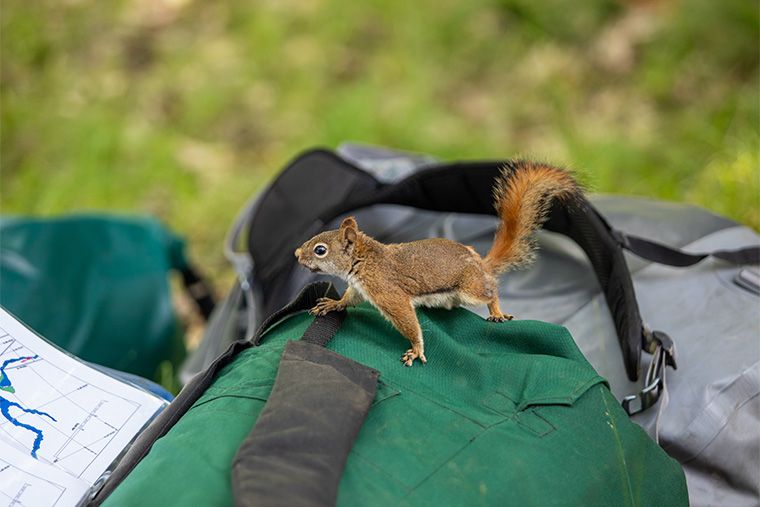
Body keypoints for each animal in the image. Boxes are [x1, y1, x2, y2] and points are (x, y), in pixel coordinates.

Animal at [294, 161, 580, 368]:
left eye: (320, 250)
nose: (297, 253)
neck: (364, 260)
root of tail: (481, 263)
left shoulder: (387, 292)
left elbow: (407, 319)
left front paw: (416, 349)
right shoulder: (359, 288)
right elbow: (349, 299)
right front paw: (332, 304)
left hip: (470, 288)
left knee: (491, 290)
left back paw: (497, 311)